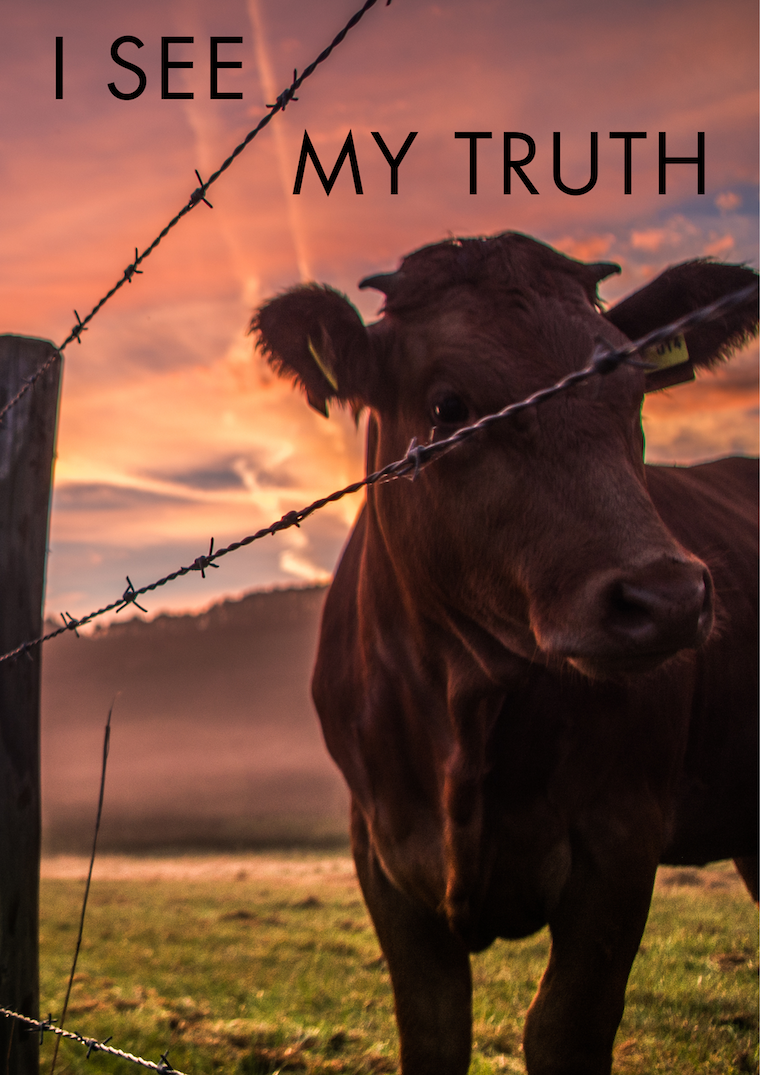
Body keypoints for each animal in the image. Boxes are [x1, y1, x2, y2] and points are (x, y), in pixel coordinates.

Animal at [252, 232, 758, 1075]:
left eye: (636, 388)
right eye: (448, 406)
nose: (667, 598)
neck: (465, 697)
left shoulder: (622, 840)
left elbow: (562, 1028)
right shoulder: (382, 853)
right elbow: (432, 1033)